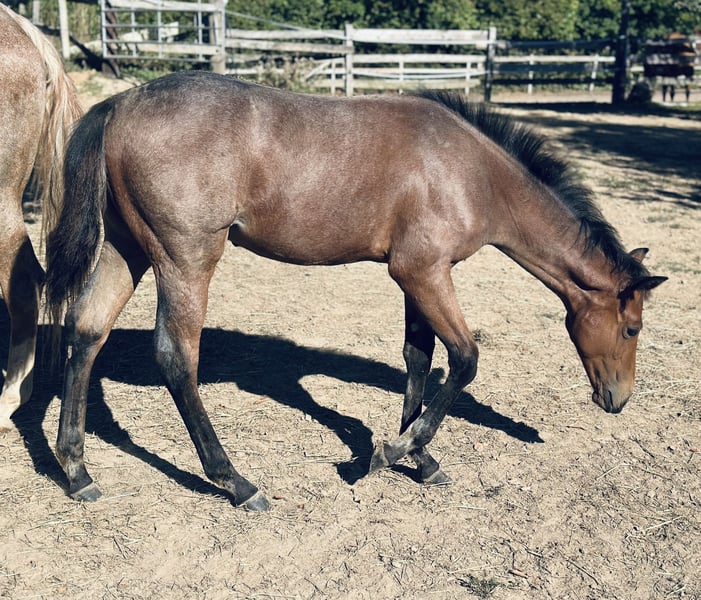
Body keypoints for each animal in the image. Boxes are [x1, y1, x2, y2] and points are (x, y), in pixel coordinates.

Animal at [45, 72, 666, 511]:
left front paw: (421, 458)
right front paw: (390, 453)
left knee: (86, 332)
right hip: (185, 259)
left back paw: (76, 472)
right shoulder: (423, 272)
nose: (618, 400)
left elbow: (419, 357)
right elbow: (464, 359)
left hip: (127, 250)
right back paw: (236, 482)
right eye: (632, 328)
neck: (470, 172)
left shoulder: (418, 276)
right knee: (177, 356)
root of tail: (120, 104)